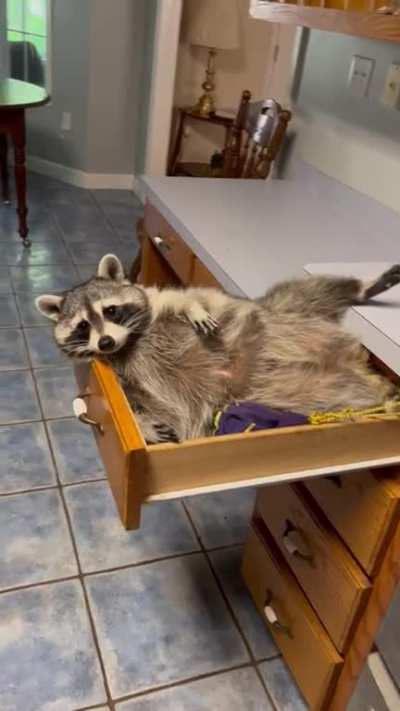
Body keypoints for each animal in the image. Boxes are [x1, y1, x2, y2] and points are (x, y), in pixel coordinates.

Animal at [36, 255, 400, 444]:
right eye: (83, 326)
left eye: (111, 311)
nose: (106, 342)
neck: (129, 342)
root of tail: (353, 357)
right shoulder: (119, 376)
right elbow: (130, 405)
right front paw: (144, 426)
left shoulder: (156, 302)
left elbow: (181, 296)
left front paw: (192, 308)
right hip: (305, 391)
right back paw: (382, 396)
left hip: (280, 310)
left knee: (314, 289)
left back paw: (364, 287)